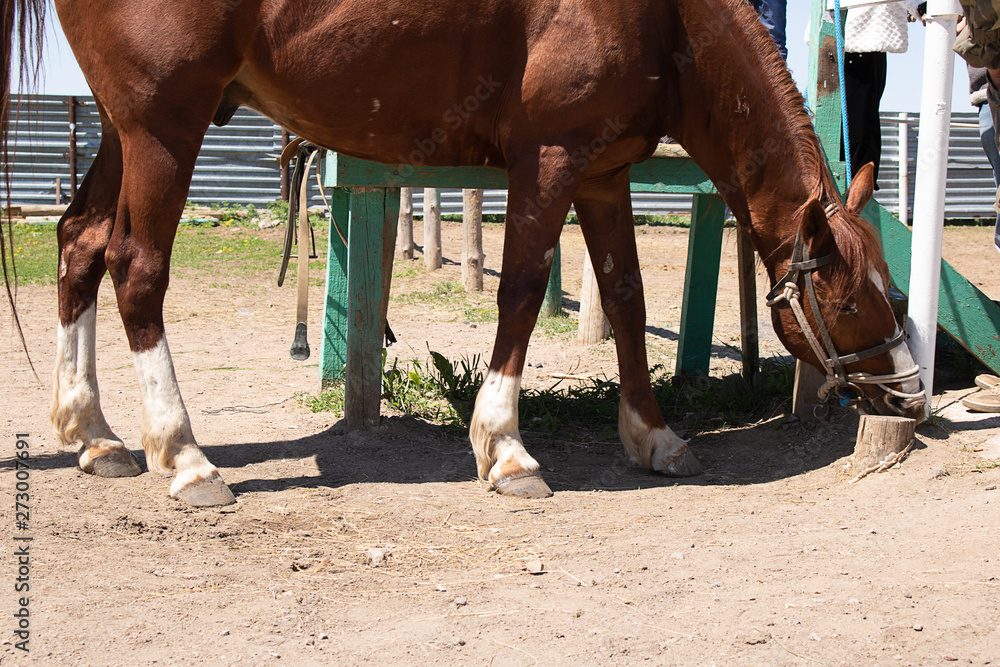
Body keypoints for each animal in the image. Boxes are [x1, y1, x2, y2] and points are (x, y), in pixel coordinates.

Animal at [2, 0, 926, 506]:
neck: (659, 15)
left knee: (79, 243)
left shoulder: (603, 172)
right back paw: (184, 457)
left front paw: (654, 435)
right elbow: (520, 289)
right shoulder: (547, 160)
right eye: (853, 302)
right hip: (164, 125)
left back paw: (95, 434)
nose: (911, 397)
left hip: (126, 127)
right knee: (136, 267)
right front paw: (505, 447)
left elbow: (627, 298)